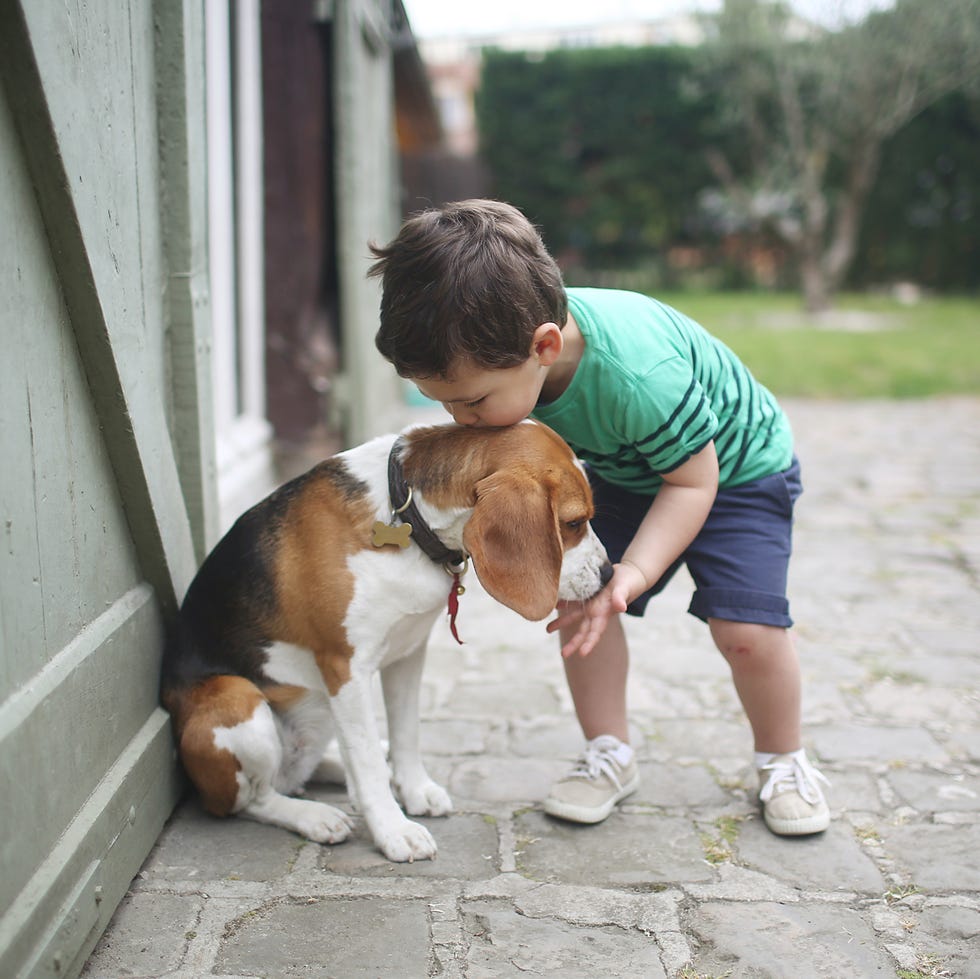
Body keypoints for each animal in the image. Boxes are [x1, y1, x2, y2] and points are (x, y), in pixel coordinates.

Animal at [161, 418, 612, 860]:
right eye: (573, 522)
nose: (609, 574)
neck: (410, 518)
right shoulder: (345, 667)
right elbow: (367, 764)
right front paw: (394, 830)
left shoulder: (408, 653)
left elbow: (405, 733)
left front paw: (413, 790)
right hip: (242, 703)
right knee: (251, 799)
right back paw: (313, 815)